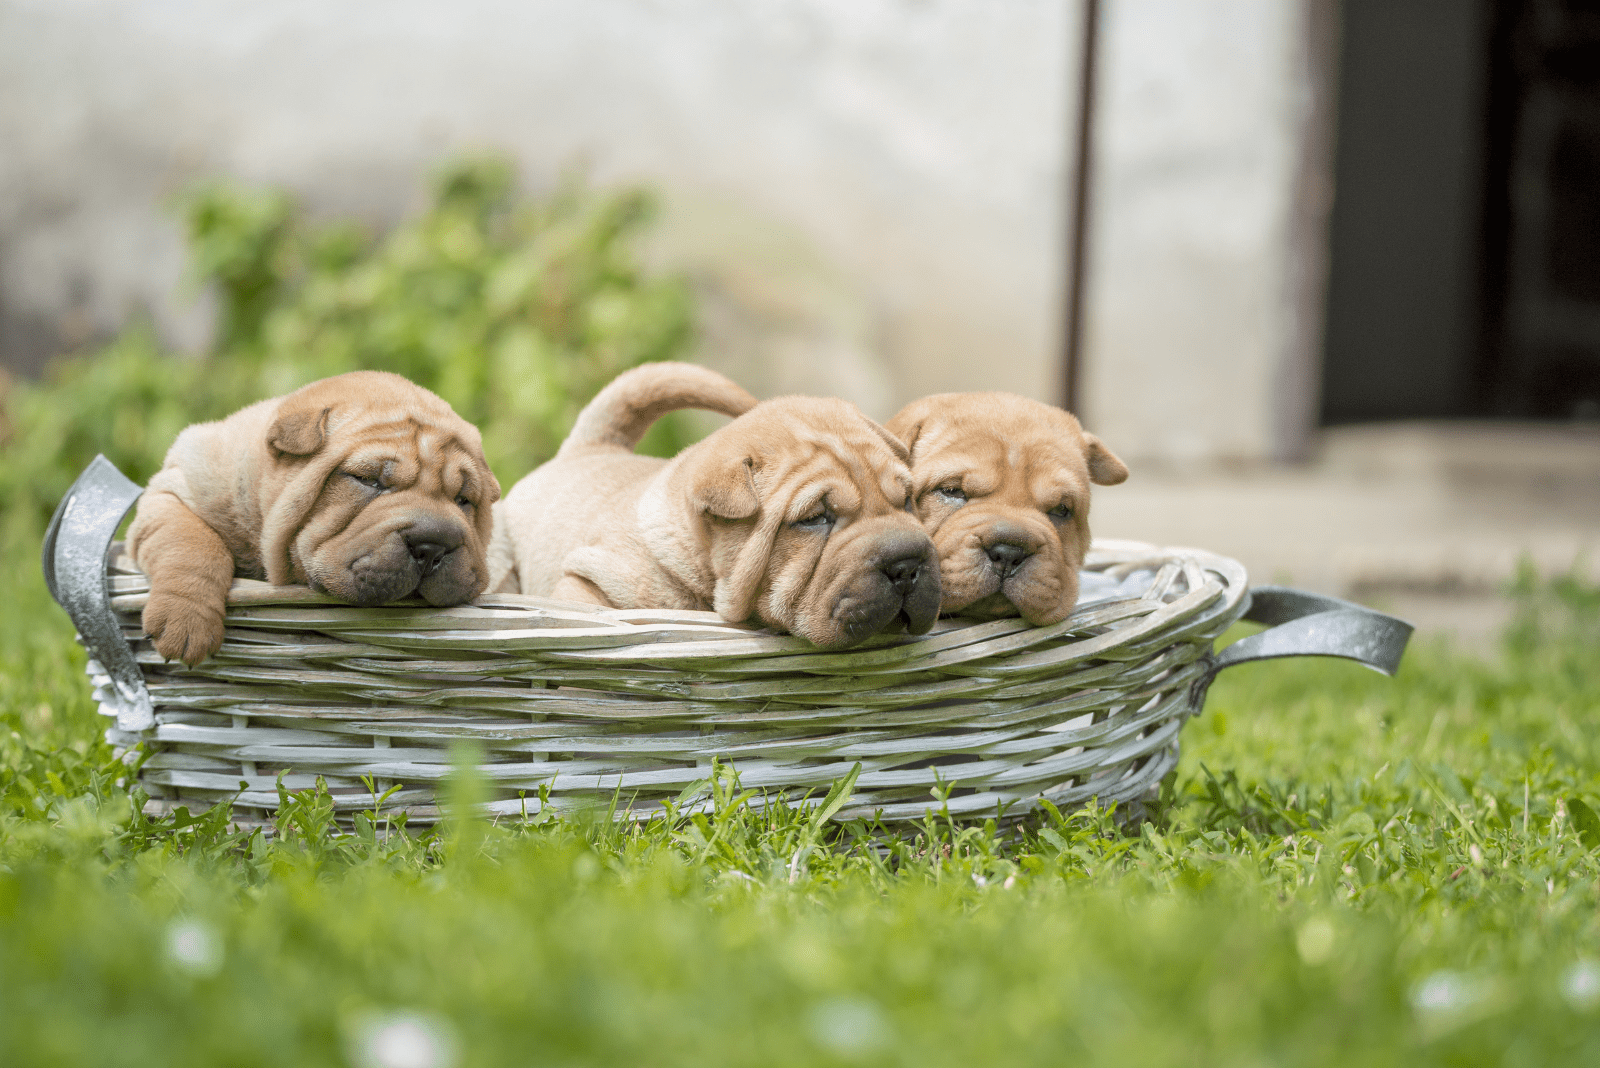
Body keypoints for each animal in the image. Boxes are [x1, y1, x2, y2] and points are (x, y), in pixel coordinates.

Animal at [125, 370, 499, 661]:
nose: (432, 546)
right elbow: (191, 544)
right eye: (368, 480)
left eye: (463, 499)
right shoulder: (175, 490)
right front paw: (185, 621)